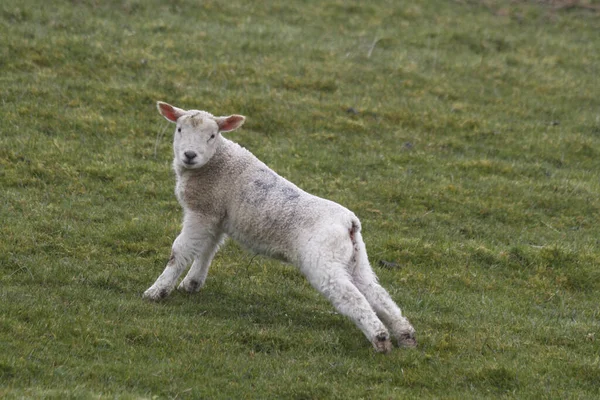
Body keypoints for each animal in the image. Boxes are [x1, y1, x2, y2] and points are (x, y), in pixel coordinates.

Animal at [144, 101, 418, 352]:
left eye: (212, 136)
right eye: (179, 129)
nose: (190, 155)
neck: (216, 163)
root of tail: (350, 222)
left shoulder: (201, 211)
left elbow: (179, 250)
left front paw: (156, 291)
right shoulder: (215, 215)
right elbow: (207, 250)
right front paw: (191, 284)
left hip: (323, 258)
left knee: (351, 296)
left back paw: (380, 339)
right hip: (356, 258)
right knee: (376, 293)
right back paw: (405, 336)